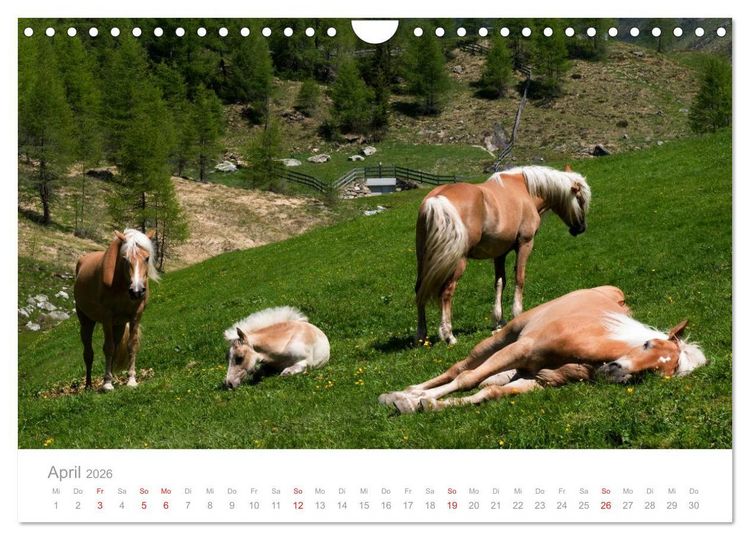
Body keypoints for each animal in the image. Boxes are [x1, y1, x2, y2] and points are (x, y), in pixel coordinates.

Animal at [74, 229, 158, 391]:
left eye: (147, 258)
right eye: (125, 259)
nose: (137, 291)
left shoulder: (135, 315)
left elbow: (131, 346)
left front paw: (131, 380)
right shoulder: (107, 317)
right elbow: (108, 348)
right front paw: (107, 383)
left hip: (118, 324)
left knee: (116, 346)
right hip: (86, 321)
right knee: (88, 353)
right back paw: (88, 385)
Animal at [381, 286, 708, 414]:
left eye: (655, 372)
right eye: (647, 343)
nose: (616, 370)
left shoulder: (541, 380)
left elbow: (490, 392)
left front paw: (429, 405)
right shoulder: (520, 350)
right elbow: (467, 379)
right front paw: (414, 399)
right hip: (504, 338)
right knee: (459, 368)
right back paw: (405, 392)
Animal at [415, 165, 591, 345]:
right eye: (580, 199)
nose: (581, 228)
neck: (525, 190)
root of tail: (436, 199)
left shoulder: (500, 253)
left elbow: (500, 283)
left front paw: (499, 322)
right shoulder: (525, 244)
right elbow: (519, 279)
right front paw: (517, 314)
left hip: (423, 260)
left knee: (419, 289)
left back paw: (421, 335)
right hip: (457, 262)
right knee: (446, 292)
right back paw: (448, 335)